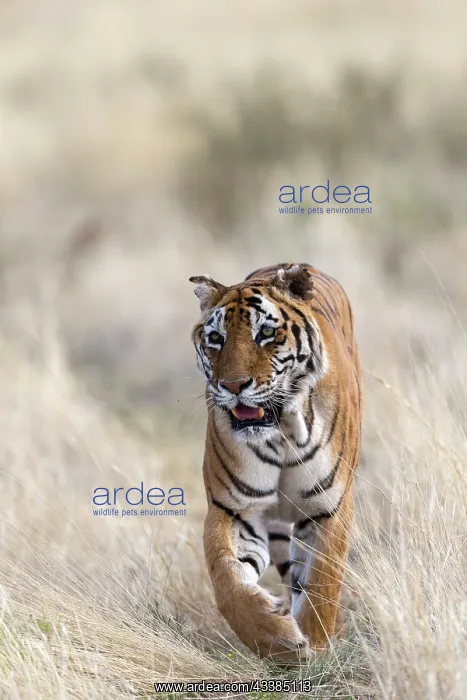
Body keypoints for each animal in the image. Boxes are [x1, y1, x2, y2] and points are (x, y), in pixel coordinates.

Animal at [190, 263, 363, 662]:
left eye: (266, 333)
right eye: (216, 338)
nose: (233, 385)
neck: (281, 429)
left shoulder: (329, 507)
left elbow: (323, 582)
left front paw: (317, 645)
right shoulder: (234, 508)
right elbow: (228, 580)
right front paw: (279, 641)